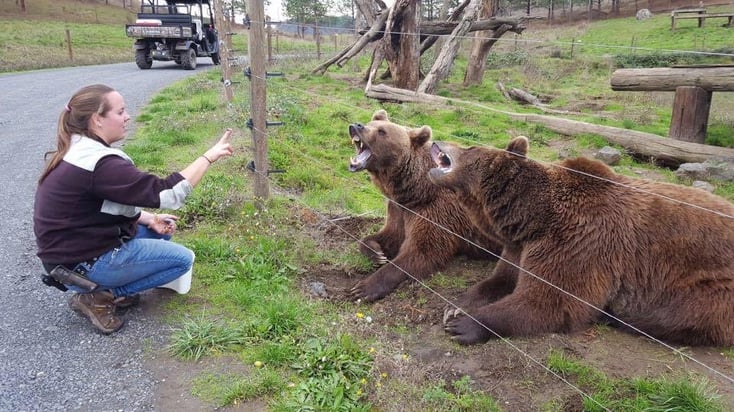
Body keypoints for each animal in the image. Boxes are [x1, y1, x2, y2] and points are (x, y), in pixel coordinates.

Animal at [348, 109, 504, 302]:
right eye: (371, 123)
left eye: (382, 131)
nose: (356, 125)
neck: (416, 191)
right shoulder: (400, 209)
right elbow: (390, 234)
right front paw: (378, 254)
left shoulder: (438, 212)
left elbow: (422, 251)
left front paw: (362, 289)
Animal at [428, 137, 734, 346]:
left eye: (469, 147)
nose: (437, 142)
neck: (533, 217)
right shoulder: (520, 245)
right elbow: (502, 278)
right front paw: (456, 305)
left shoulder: (579, 241)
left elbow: (550, 301)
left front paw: (465, 325)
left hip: (706, 281)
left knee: (687, 314)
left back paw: (619, 315)